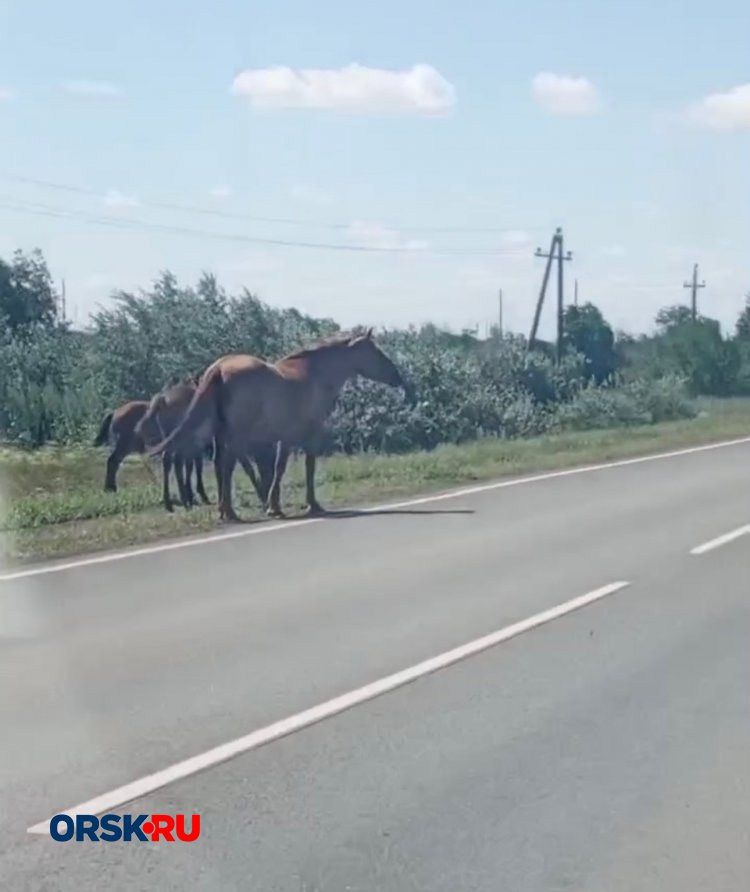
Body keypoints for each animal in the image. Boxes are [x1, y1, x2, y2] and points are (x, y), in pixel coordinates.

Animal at [147, 328, 414, 522]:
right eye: (375, 351)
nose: (397, 377)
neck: (315, 375)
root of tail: (218, 369)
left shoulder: (283, 438)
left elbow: (277, 468)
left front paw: (273, 506)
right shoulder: (308, 434)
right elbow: (305, 467)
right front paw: (310, 505)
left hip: (220, 434)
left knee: (221, 464)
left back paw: (224, 510)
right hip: (235, 435)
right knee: (228, 464)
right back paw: (229, 511)